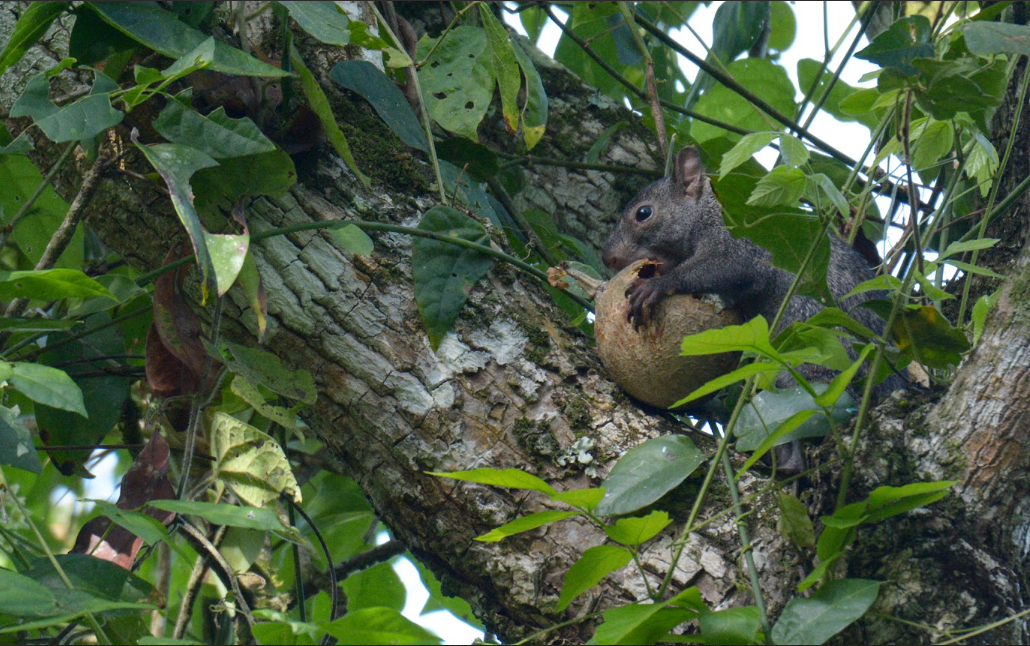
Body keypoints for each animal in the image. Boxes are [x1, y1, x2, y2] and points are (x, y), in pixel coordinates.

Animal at [602, 146, 902, 472]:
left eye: (643, 213)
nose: (607, 258)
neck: (707, 210)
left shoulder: (739, 242)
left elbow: (723, 267)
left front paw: (656, 285)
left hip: (817, 369)